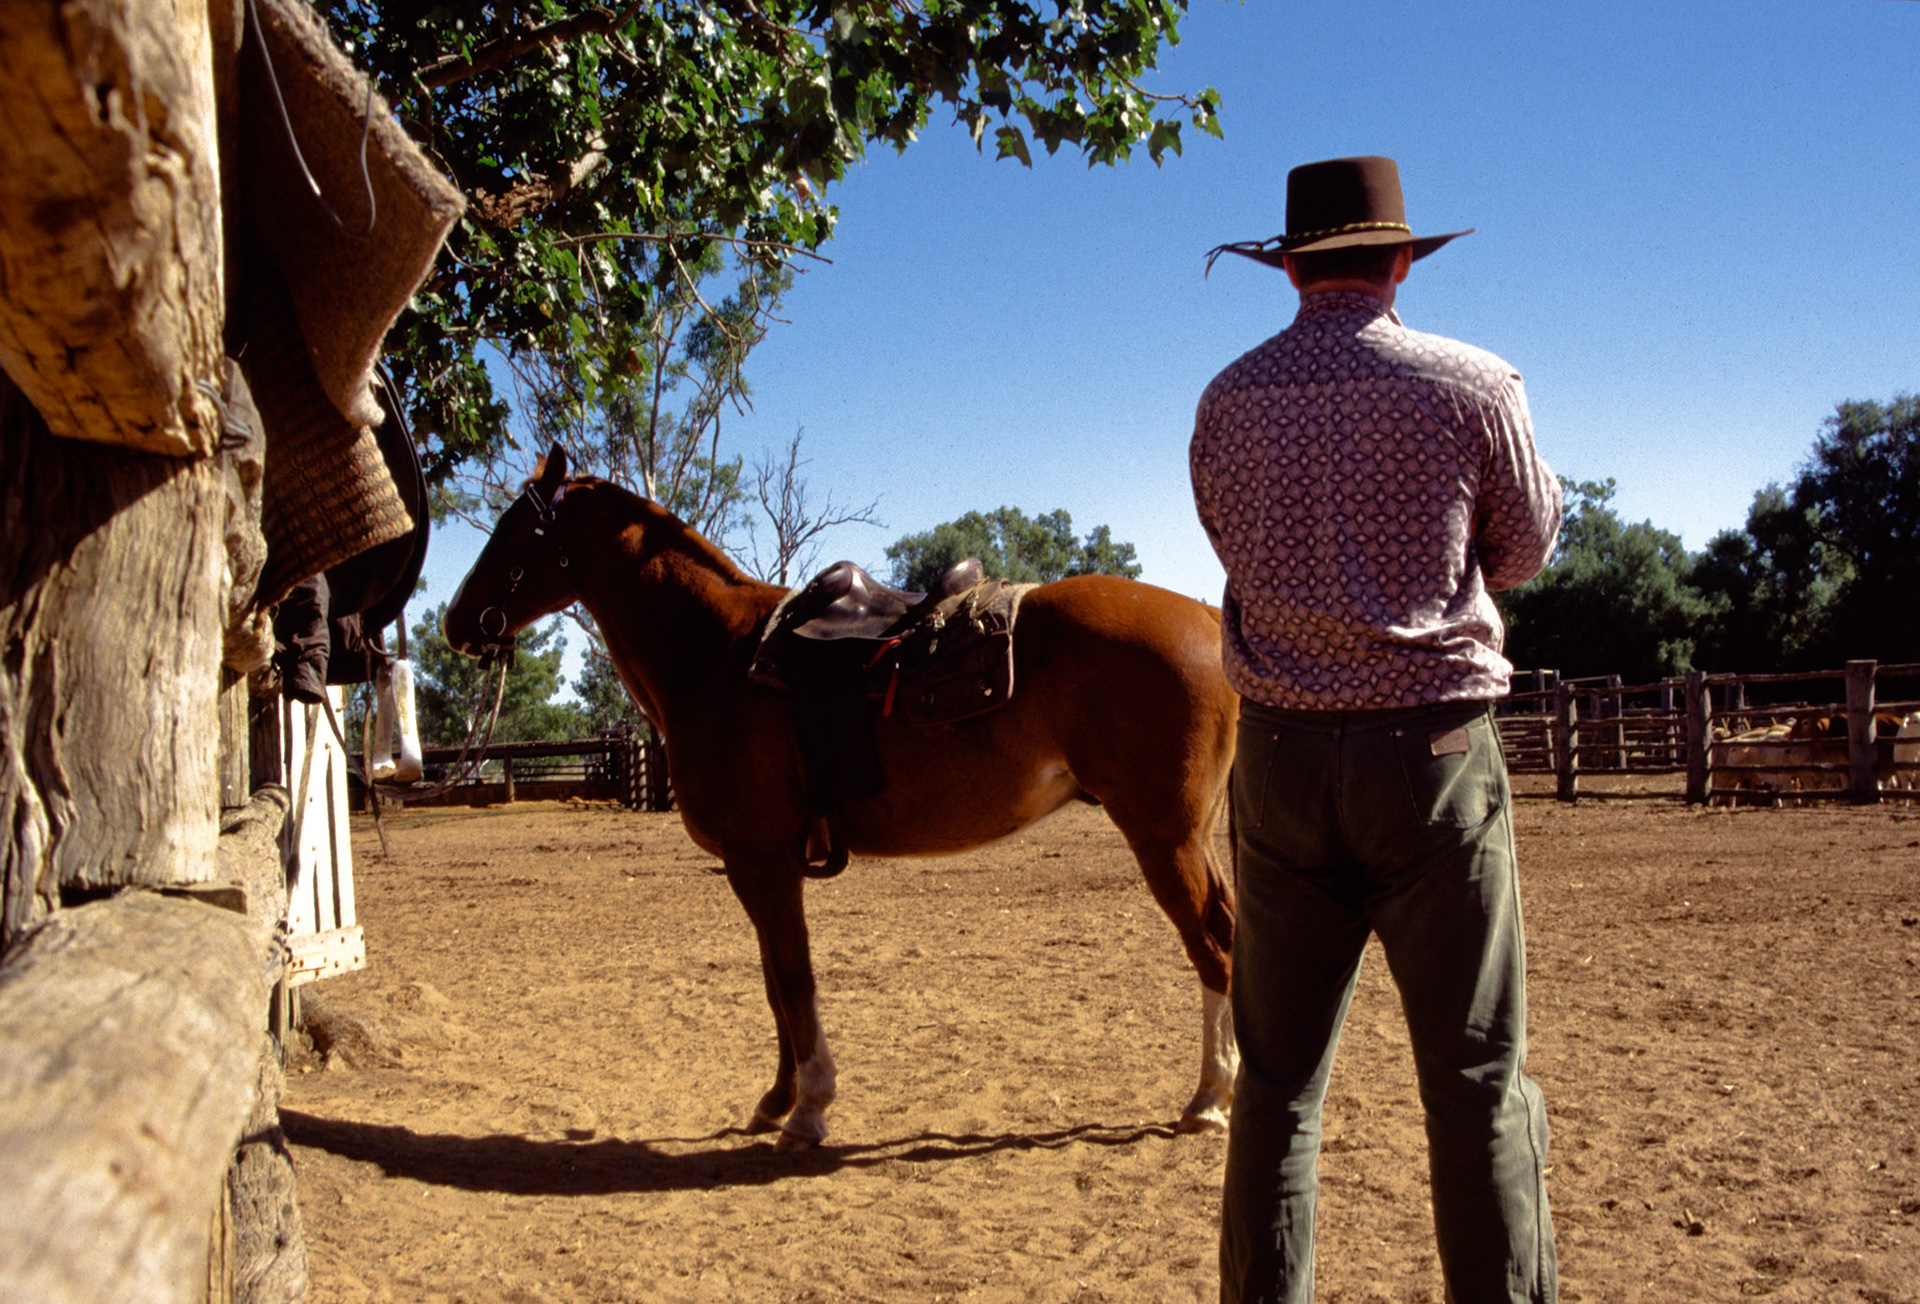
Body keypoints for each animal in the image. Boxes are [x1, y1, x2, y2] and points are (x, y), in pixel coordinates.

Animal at [444, 446, 1239, 1148]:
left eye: (514, 529)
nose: (457, 621)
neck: (716, 654)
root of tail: (1206, 619)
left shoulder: (762, 861)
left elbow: (795, 981)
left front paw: (809, 1108)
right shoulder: (760, 866)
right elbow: (775, 982)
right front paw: (775, 1099)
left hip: (1162, 836)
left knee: (1212, 948)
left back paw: (1209, 1100)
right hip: (1190, 835)